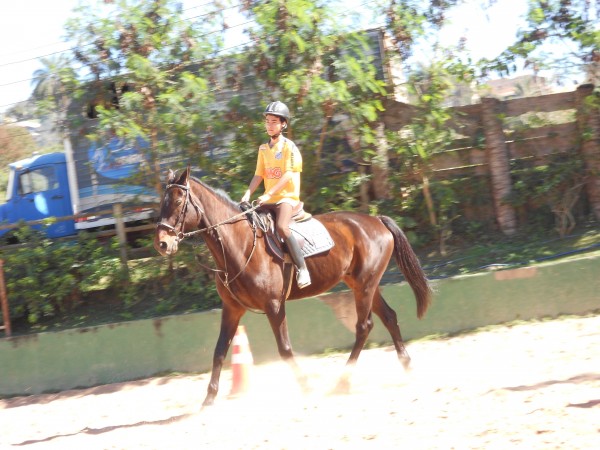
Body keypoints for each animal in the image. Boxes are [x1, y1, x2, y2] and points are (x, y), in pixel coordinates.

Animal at [154, 167, 433, 406]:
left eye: (178, 202)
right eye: (161, 203)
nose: (162, 243)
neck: (239, 245)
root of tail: (376, 220)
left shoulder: (274, 306)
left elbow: (285, 349)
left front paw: (306, 386)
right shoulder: (232, 308)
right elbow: (220, 351)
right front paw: (209, 398)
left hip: (365, 286)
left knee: (364, 326)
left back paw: (342, 383)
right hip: (363, 284)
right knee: (389, 317)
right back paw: (407, 366)